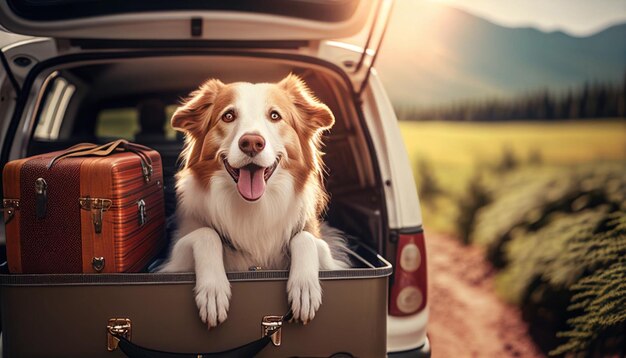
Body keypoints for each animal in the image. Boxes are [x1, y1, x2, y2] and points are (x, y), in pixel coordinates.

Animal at [158, 73, 348, 328]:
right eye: (228, 116)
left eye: (275, 116)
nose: (251, 142)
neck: (253, 207)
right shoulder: (174, 259)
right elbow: (207, 234)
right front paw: (213, 290)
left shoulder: (326, 251)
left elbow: (304, 238)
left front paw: (305, 287)